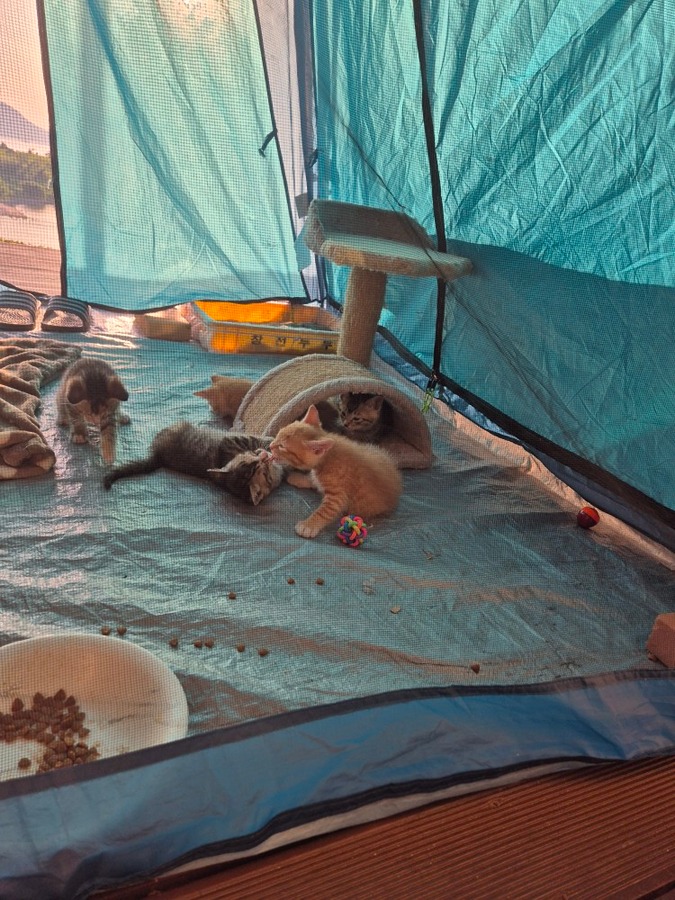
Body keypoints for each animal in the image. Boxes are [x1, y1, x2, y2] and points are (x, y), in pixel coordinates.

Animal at [101, 418, 284, 502]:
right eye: (254, 466)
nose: (261, 458)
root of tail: (157, 457)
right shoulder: (230, 442)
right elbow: (252, 439)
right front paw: (269, 442)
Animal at [270, 404, 402, 536]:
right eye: (278, 434)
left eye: (282, 446)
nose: (270, 445)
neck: (327, 457)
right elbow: (314, 480)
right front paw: (298, 478)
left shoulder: (338, 495)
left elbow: (325, 511)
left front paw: (308, 526)